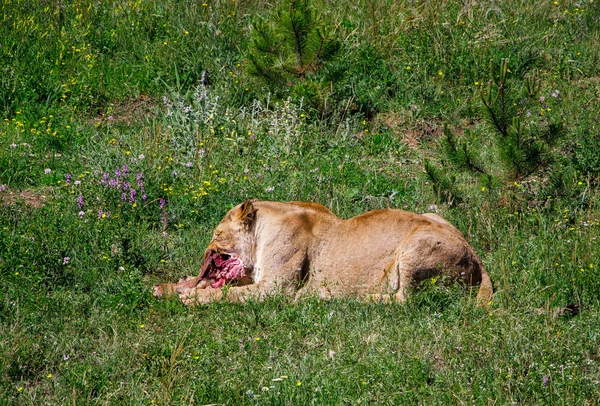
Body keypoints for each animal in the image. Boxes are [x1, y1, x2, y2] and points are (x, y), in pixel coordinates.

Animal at [154, 200, 492, 304]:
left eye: (217, 234)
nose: (206, 251)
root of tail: (476, 257)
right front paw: (170, 287)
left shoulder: (275, 288)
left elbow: (228, 294)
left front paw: (192, 296)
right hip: (433, 215)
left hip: (416, 245)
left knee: (404, 300)